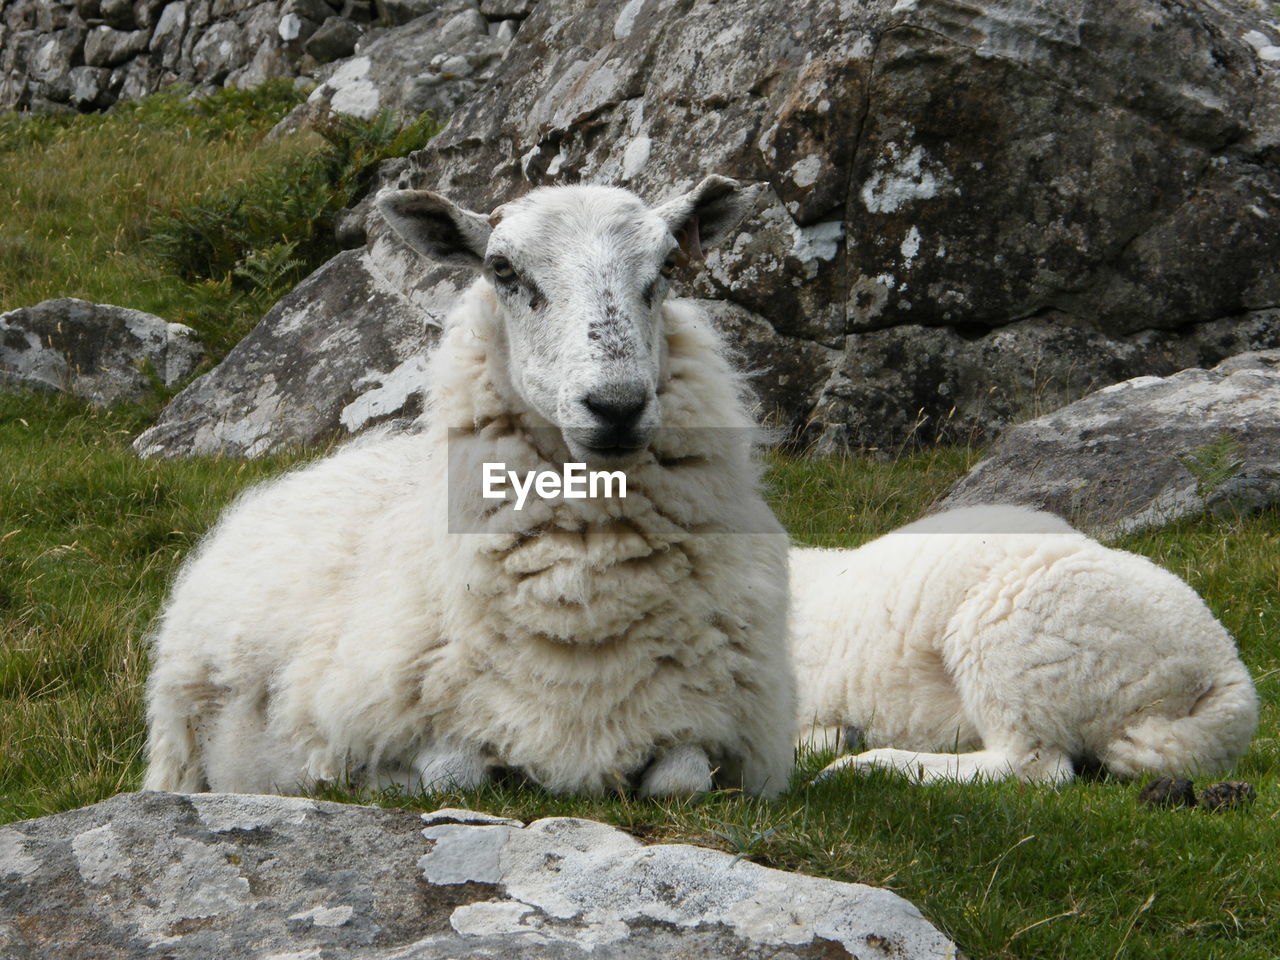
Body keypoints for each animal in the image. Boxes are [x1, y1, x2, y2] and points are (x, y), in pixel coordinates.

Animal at [145, 176, 793, 798]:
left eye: (667, 265)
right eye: (502, 269)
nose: (617, 406)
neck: (583, 610)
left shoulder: (716, 731)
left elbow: (681, 783)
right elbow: (450, 776)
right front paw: (379, 780)